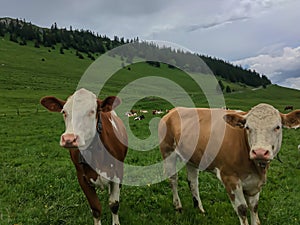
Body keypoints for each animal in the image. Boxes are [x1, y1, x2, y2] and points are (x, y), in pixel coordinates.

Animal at [40, 88, 127, 225]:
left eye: (92, 111)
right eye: (64, 112)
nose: (69, 139)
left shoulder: (117, 173)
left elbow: (114, 204)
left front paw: (116, 222)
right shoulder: (82, 178)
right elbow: (96, 209)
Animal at [158, 103, 298, 225]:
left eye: (277, 127)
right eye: (247, 127)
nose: (259, 152)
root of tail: (173, 110)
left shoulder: (254, 184)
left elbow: (254, 208)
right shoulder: (230, 178)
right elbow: (242, 209)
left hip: (191, 157)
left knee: (193, 182)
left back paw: (200, 209)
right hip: (168, 152)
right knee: (173, 179)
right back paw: (178, 206)